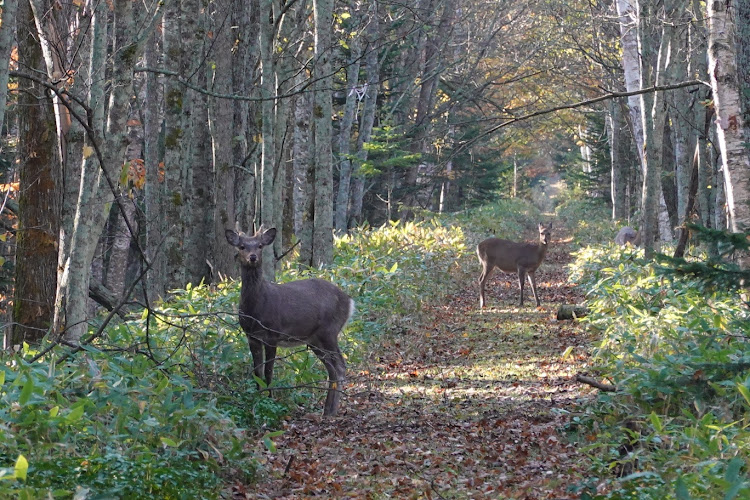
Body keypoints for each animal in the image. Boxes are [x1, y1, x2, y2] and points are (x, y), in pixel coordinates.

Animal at [223, 226, 356, 414]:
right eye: (242, 247)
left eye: (260, 246)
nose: (253, 257)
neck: (256, 309)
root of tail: (349, 301)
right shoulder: (252, 336)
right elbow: (257, 372)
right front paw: (256, 399)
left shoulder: (272, 334)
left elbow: (269, 372)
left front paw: (269, 400)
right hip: (314, 339)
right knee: (332, 368)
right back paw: (326, 410)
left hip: (329, 331)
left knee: (340, 366)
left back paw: (332, 410)